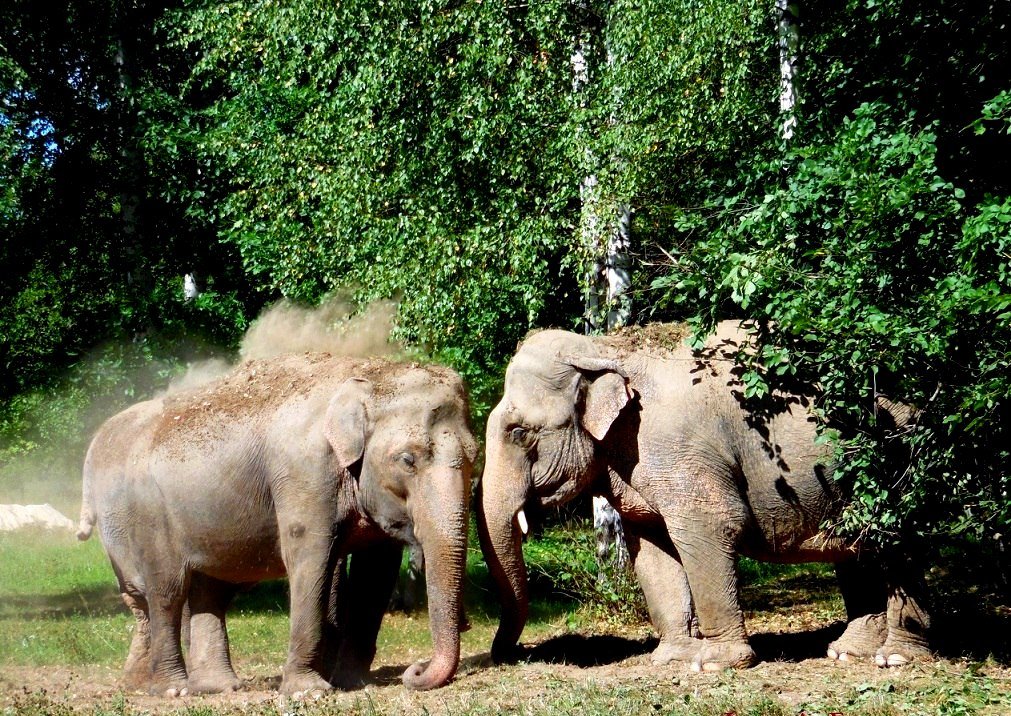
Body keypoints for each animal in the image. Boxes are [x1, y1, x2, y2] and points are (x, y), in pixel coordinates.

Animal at [76, 355, 475, 695]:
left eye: (474, 456)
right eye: (408, 460)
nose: (416, 669)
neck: (370, 374)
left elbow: (374, 573)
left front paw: (352, 683)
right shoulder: (303, 474)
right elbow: (311, 557)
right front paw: (309, 692)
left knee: (209, 590)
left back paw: (218, 688)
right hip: (147, 516)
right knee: (167, 591)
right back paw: (173, 690)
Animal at [479, 321, 930, 675]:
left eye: (519, 432)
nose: (505, 655)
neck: (604, 347)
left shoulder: (679, 446)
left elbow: (713, 525)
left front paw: (714, 664)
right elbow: (652, 548)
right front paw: (673, 659)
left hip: (902, 456)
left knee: (901, 539)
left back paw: (896, 659)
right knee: (859, 547)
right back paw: (849, 653)